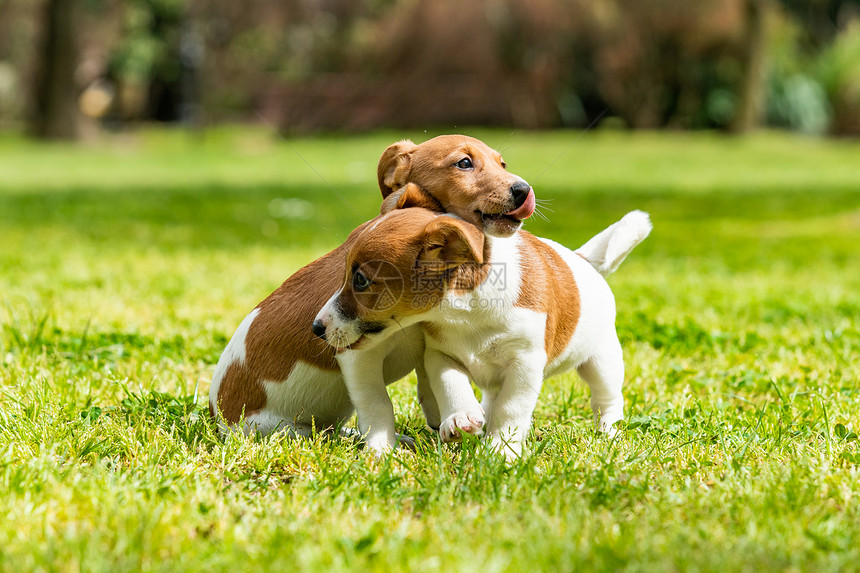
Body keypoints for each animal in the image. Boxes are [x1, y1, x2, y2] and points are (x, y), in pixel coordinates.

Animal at [207, 135, 532, 452]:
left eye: (502, 163)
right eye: (464, 163)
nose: (524, 190)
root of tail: (215, 417)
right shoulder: (355, 354)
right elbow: (378, 403)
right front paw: (382, 450)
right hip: (279, 430)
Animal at [312, 208, 648, 458]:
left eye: (360, 280)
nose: (317, 327)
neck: (468, 312)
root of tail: (582, 259)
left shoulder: (525, 364)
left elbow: (511, 408)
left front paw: (502, 449)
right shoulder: (440, 355)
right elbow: (452, 385)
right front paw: (460, 418)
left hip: (602, 359)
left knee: (607, 397)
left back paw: (609, 430)